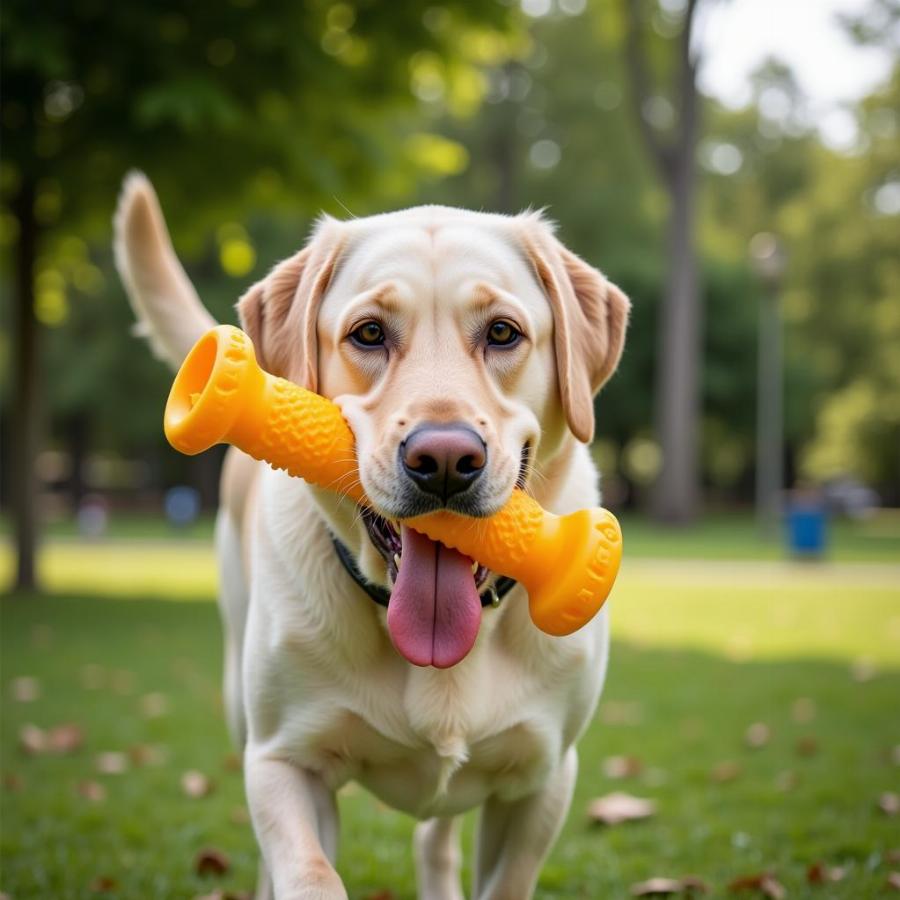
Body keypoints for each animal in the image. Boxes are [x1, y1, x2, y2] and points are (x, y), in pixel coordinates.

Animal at [116, 172, 628, 896]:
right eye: (368, 333)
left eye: (503, 332)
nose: (444, 460)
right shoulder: (284, 762)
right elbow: (308, 873)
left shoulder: (542, 778)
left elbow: (506, 879)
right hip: (241, 698)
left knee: (434, 839)